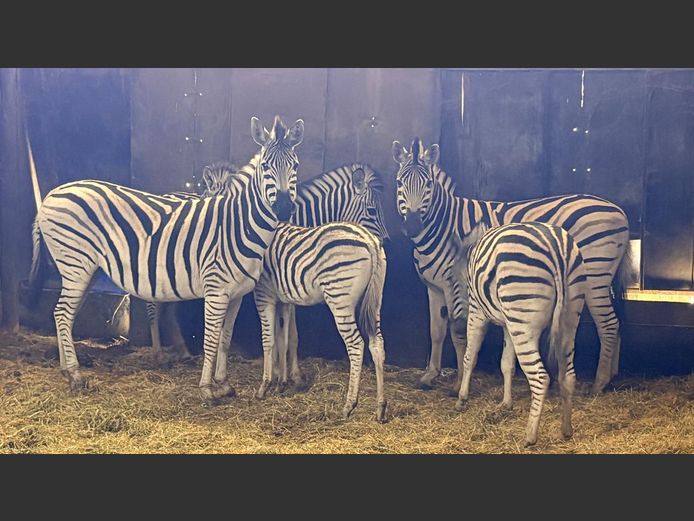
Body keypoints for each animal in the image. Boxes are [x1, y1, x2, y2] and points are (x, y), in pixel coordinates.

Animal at [28, 115, 304, 404]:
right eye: (265, 166)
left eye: (295, 165)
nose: (284, 208)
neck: (238, 224)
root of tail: (50, 195)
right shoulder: (216, 290)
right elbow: (210, 340)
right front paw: (207, 389)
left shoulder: (236, 294)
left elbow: (225, 338)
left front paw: (224, 383)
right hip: (76, 264)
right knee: (62, 313)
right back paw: (75, 375)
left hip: (84, 269)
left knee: (64, 314)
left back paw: (66, 371)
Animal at [253, 221, 388, 422]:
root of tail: (369, 239)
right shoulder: (284, 299)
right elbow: (283, 339)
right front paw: (281, 383)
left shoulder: (263, 294)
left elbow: (268, 340)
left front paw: (265, 386)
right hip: (375, 300)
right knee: (377, 343)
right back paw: (380, 407)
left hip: (339, 297)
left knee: (356, 345)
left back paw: (349, 405)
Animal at [392, 137, 634, 395]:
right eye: (399, 183)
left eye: (428, 184)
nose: (413, 226)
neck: (444, 226)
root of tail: (618, 210)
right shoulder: (433, 287)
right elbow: (436, 331)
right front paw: (429, 376)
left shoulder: (454, 285)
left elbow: (458, 332)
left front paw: (457, 383)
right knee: (616, 322)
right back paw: (611, 376)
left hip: (595, 273)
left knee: (609, 324)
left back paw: (599, 383)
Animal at [450, 222, 587, 447]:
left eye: (451, 280)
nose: (454, 321)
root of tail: (556, 247)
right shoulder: (509, 324)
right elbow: (507, 364)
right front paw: (506, 403)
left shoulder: (477, 312)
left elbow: (470, 357)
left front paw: (462, 398)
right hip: (568, 320)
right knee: (568, 376)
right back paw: (566, 430)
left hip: (524, 322)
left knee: (541, 378)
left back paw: (530, 436)